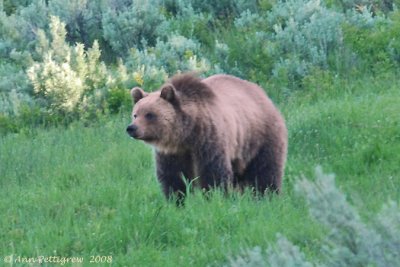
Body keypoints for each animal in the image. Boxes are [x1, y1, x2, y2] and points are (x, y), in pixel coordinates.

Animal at [127, 74, 288, 203]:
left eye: (150, 114)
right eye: (135, 114)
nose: (131, 128)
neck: (185, 134)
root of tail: (263, 94)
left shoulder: (208, 139)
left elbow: (213, 171)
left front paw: (214, 197)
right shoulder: (171, 152)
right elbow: (173, 176)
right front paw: (176, 200)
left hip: (260, 135)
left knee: (266, 169)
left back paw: (268, 195)